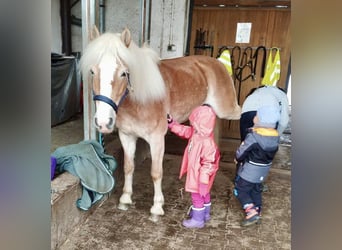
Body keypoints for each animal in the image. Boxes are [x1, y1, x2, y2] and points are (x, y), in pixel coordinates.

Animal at [80, 25, 240, 221]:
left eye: (124, 73)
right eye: (92, 71)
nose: (103, 122)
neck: (140, 101)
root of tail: (217, 62)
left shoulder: (156, 140)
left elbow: (156, 173)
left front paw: (156, 208)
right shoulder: (127, 136)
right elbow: (128, 167)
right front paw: (125, 199)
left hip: (228, 110)